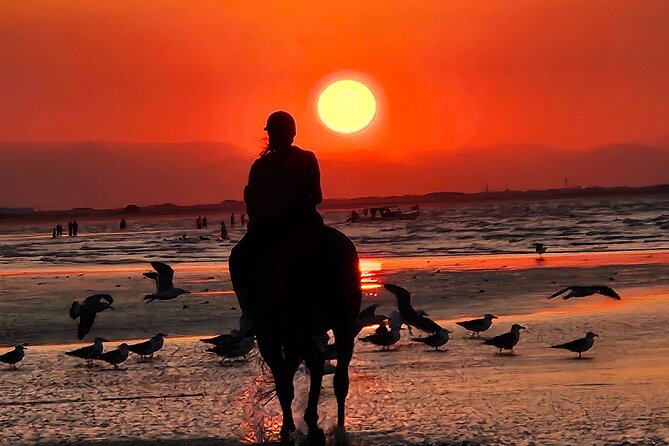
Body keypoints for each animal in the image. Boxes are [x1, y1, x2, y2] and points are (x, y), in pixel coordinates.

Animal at [231, 226, 362, 445]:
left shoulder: (270, 339)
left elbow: (284, 383)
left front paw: (288, 427)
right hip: (343, 323)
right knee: (339, 379)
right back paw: (337, 427)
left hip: (296, 329)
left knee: (315, 362)